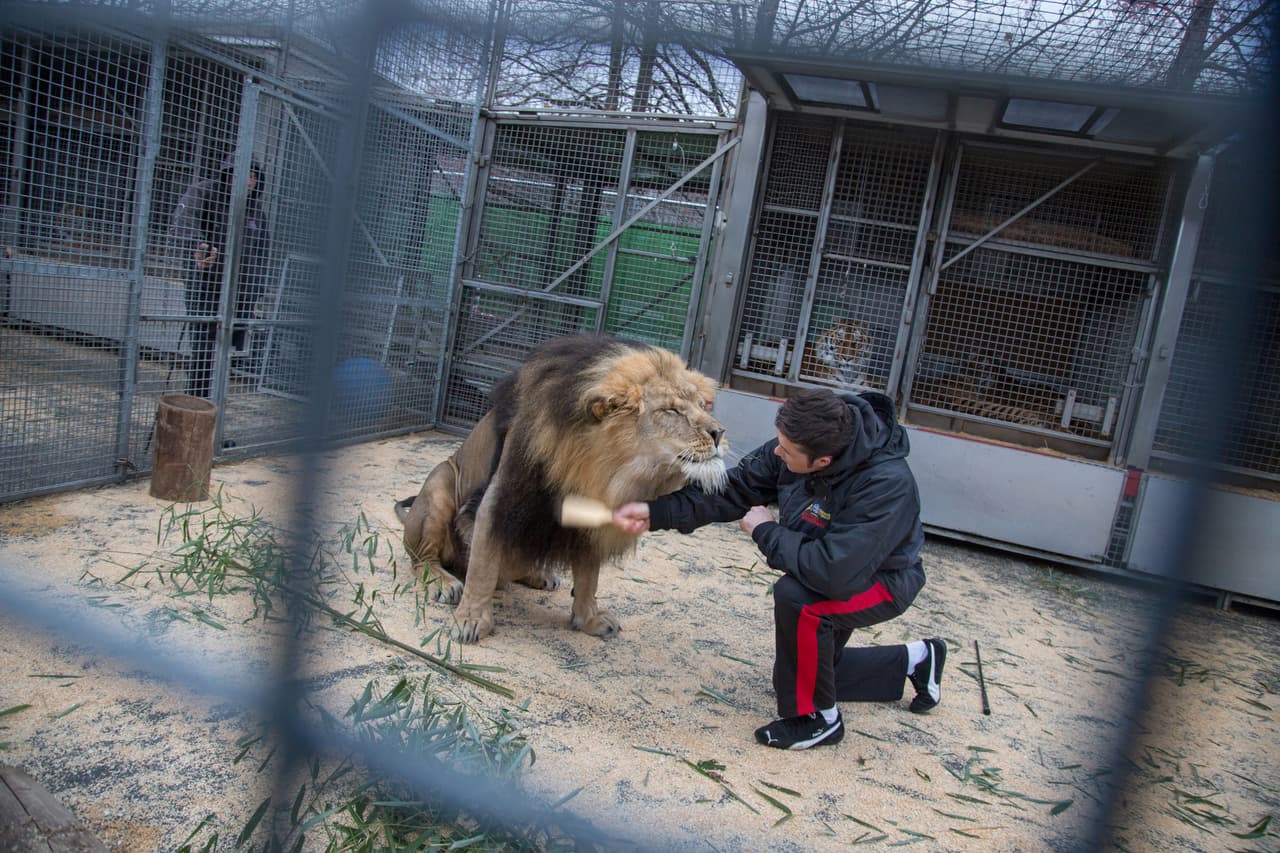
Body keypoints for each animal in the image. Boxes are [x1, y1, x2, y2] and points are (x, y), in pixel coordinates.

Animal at [398, 334, 728, 644]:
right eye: (671, 411)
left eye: (702, 405)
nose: (719, 432)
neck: (607, 466)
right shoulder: (500, 498)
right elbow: (482, 568)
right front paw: (470, 619)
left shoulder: (593, 516)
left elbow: (589, 577)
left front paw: (588, 619)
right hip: (439, 488)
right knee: (423, 559)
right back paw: (444, 582)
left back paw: (538, 575)